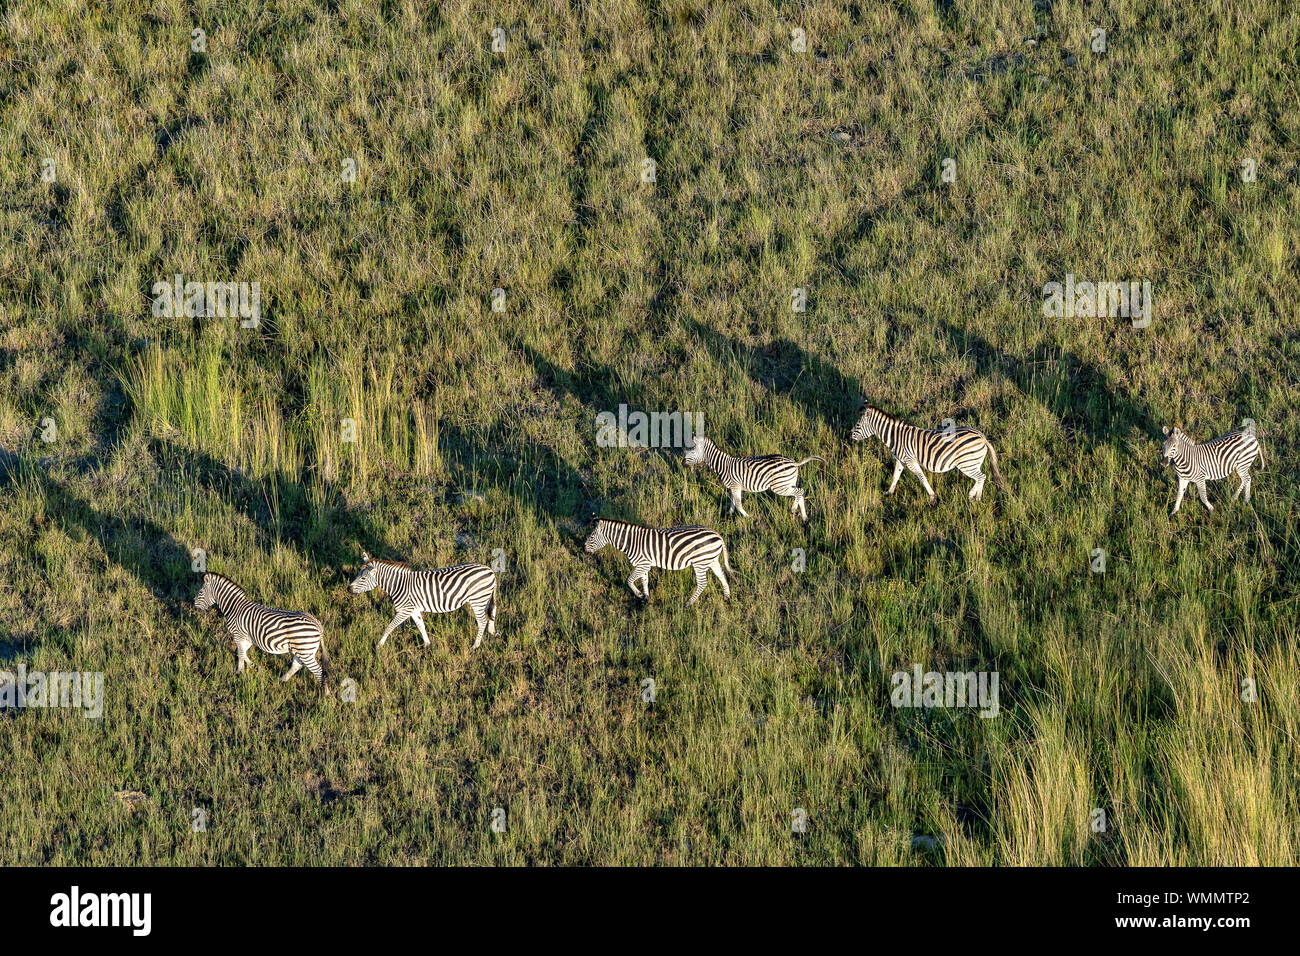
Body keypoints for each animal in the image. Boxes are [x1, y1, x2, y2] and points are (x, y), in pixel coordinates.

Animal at [196, 572, 330, 691]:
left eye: (200, 592)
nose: (194, 604)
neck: (235, 608)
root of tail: (317, 624)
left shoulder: (238, 635)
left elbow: (241, 654)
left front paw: (241, 671)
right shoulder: (247, 637)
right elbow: (242, 653)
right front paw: (251, 668)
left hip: (304, 649)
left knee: (318, 671)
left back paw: (325, 694)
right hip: (303, 649)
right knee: (297, 665)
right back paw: (281, 680)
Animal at [348, 554, 499, 650]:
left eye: (362, 578)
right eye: (358, 575)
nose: (348, 589)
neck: (399, 585)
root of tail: (490, 570)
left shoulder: (404, 610)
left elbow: (390, 627)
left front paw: (379, 645)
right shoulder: (413, 609)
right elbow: (421, 626)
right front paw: (427, 645)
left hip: (477, 600)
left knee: (482, 621)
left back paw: (475, 646)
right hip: (484, 599)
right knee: (491, 614)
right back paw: (492, 631)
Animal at [587, 520, 733, 608]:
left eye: (591, 537)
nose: (584, 548)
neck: (631, 542)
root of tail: (718, 535)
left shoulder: (642, 564)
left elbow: (629, 580)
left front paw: (639, 595)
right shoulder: (644, 564)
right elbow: (644, 581)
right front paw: (646, 598)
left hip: (700, 562)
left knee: (702, 583)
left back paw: (687, 604)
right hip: (711, 560)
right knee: (721, 576)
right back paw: (727, 597)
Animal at [681, 434, 821, 522]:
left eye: (692, 451)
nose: (682, 463)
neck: (723, 465)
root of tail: (794, 462)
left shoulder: (735, 486)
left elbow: (738, 504)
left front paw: (748, 517)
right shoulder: (733, 487)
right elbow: (732, 501)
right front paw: (729, 514)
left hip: (779, 486)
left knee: (800, 491)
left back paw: (793, 509)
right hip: (788, 483)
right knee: (800, 494)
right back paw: (804, 517)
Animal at [852, 403, 1003, 504]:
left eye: (858, 425)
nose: (850, 435)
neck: (896, 437)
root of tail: (982, 436)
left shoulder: (910, 460)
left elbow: (921, 477)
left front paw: (932, 497)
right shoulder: (900, 460)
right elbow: (895, 476)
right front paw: (889, 492)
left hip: (967, 463)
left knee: (981, 477)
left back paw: (975, 497)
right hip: (973, 462)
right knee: (980, 477)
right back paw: (975, 496)